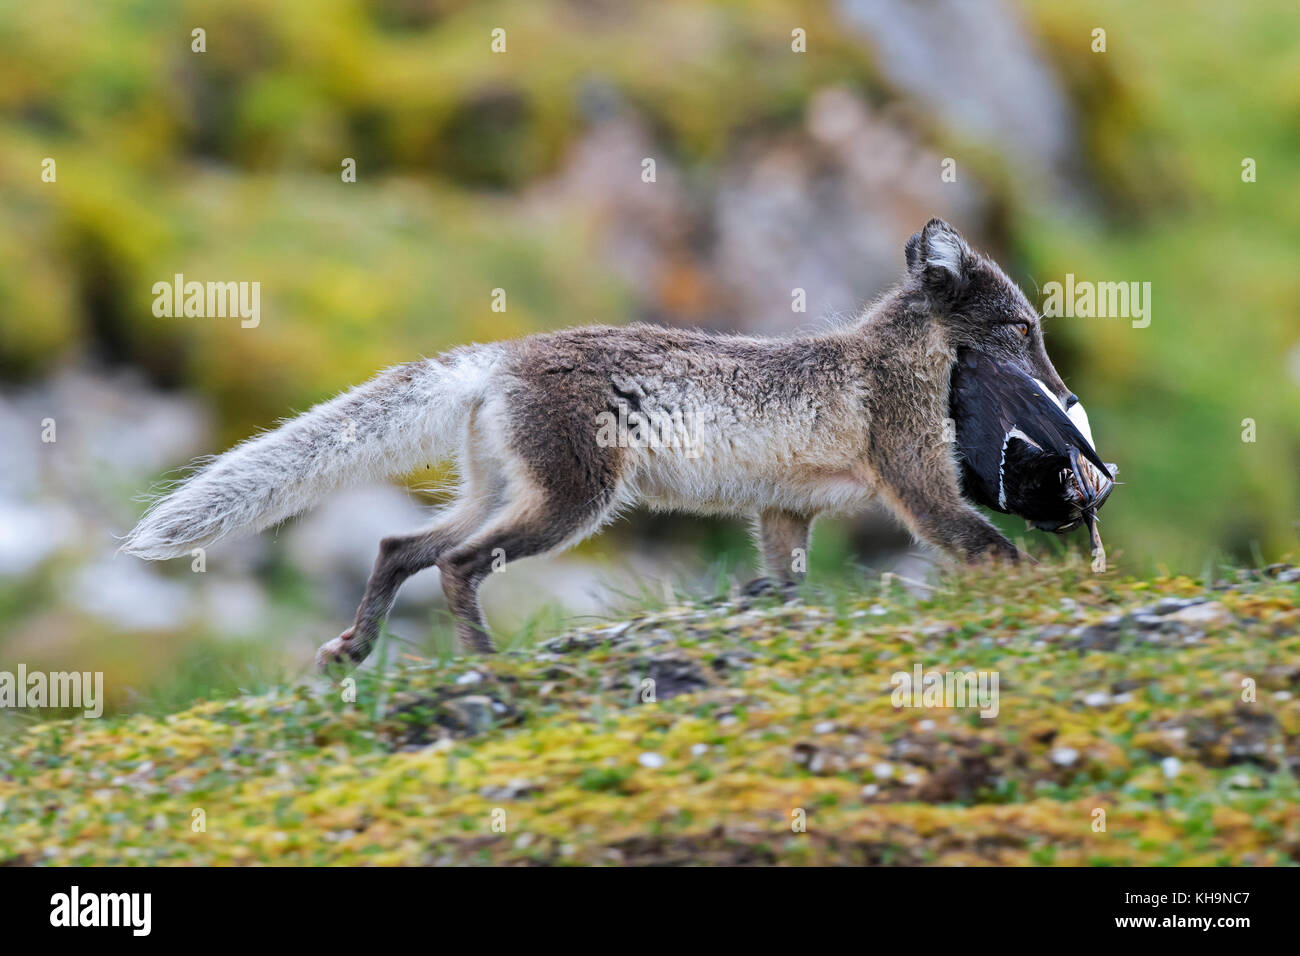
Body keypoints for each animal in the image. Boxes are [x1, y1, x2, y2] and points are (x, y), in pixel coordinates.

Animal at [124, 218, 1078, 671]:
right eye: (1024, 330)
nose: (1067, 398)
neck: (896, 356)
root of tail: (499, 357)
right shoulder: (916, 483)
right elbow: (987, 546)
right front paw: (1042, 591)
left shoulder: (784, 513)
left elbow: (782, 583)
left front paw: (756, 605)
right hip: (570, 506)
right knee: (456, 563)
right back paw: (484, 664)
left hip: (501, 492)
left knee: (400, 546)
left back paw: (353, 651)